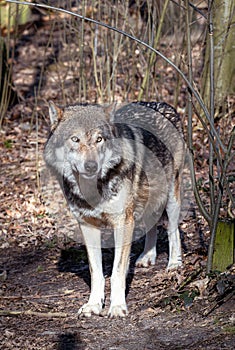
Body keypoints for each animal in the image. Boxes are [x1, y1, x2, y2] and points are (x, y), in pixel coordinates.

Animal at [44, 100, 185, 318]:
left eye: (99, 139)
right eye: (75, 139)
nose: (91, 166)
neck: (93, 190)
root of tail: (164, 104)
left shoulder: (123, 222)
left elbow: (117, 271)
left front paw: (117, 306)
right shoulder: (87, 225)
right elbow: (96, 272)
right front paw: (93, 304)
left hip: (171, 198)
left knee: (173, 230)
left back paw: (174, 264)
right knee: (152, 226)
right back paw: (148, 256)